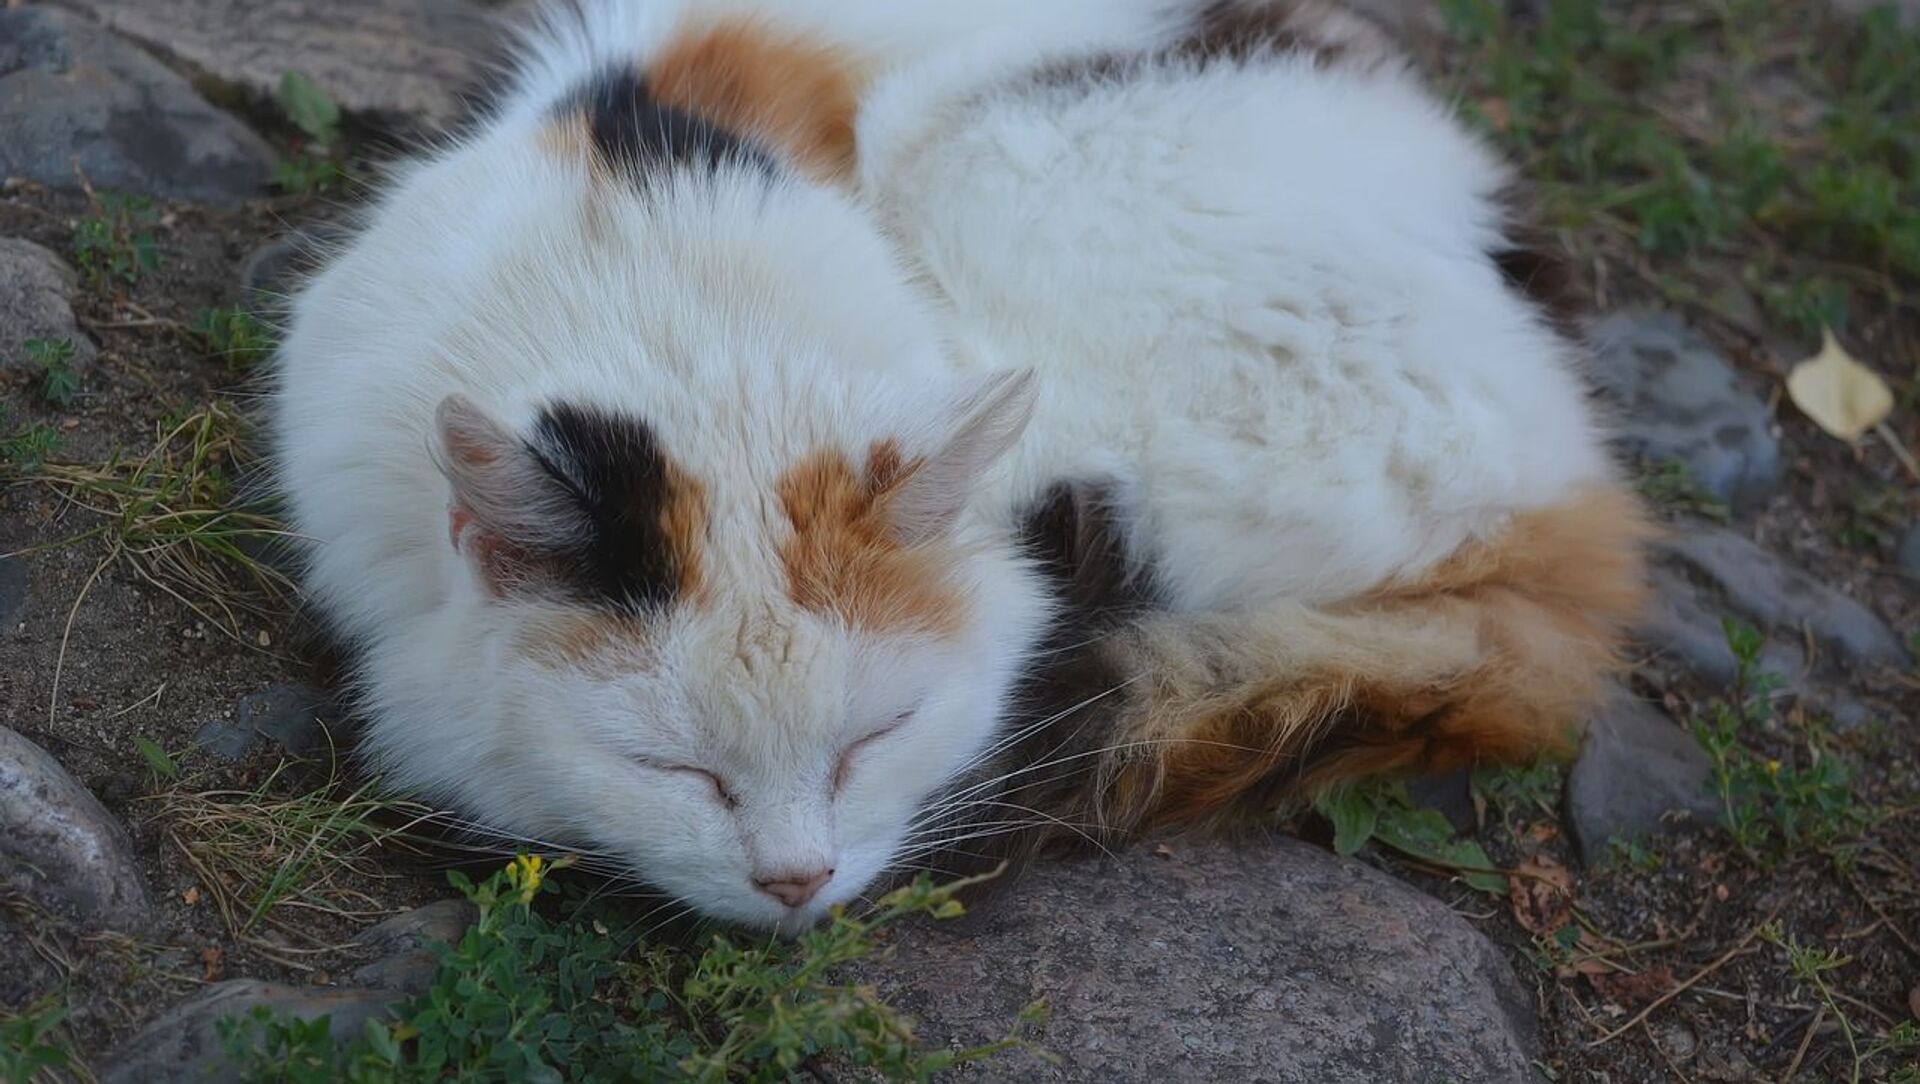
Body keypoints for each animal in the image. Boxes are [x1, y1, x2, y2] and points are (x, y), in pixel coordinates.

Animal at [270, 0, 1651, 928]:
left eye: (871, 739)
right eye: (675, 771)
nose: (796, 879)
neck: (666, 307)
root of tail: (1573, 494)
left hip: (1008, 175)